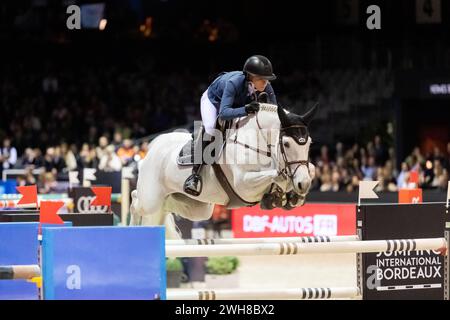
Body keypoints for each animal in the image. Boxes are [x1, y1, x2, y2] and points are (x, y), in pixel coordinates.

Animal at [129, 102, 316, 238]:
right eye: (286, 144)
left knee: (166, 208)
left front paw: (293, 197)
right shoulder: (243, 185)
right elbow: (276, 175)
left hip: (196, 208)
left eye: (309, 143)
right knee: (136, 199)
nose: (303, 184)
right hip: (151, 199)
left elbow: (310, 170)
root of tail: (153, 146)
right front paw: (280, 194)